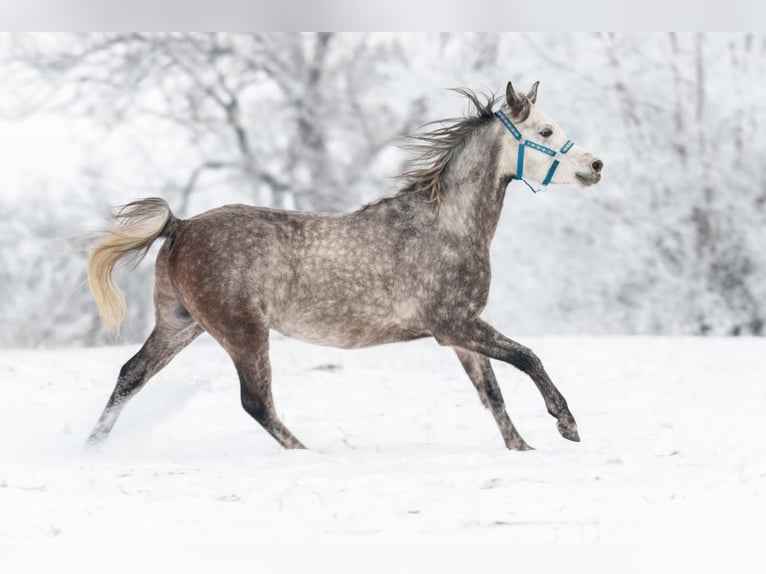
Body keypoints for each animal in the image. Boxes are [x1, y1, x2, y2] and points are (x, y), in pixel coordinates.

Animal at [86, 81, 603, 451]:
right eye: (545, 132)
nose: (596, 165)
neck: (446, 227)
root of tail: (182, 225)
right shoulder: (453, 324)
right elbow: (527, 357)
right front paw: (567, 424)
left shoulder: (463, 331)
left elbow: (491, 393)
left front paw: (523, 448)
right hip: (242, 331)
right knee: (256, 401)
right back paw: (309, 453)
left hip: (181, 324)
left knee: (131, 375)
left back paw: (92, 446)